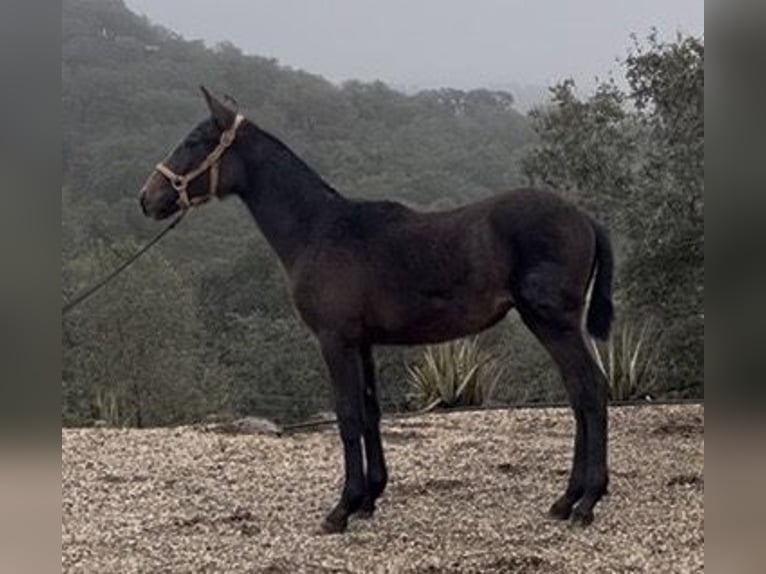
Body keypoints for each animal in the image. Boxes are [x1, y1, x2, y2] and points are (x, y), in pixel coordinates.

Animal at [139, 87, 614, 533]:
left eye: (195, 141)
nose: (148, 198)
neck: (319, 230)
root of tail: (585, 217)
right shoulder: (362, 342)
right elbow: (370, 412)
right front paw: (369, 498)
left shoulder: (335, 341)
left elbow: (348, 416)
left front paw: (341, 509)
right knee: (578, 393)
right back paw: (567, 500)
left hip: (553, 322)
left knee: (590, 390)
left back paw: (586, 501)